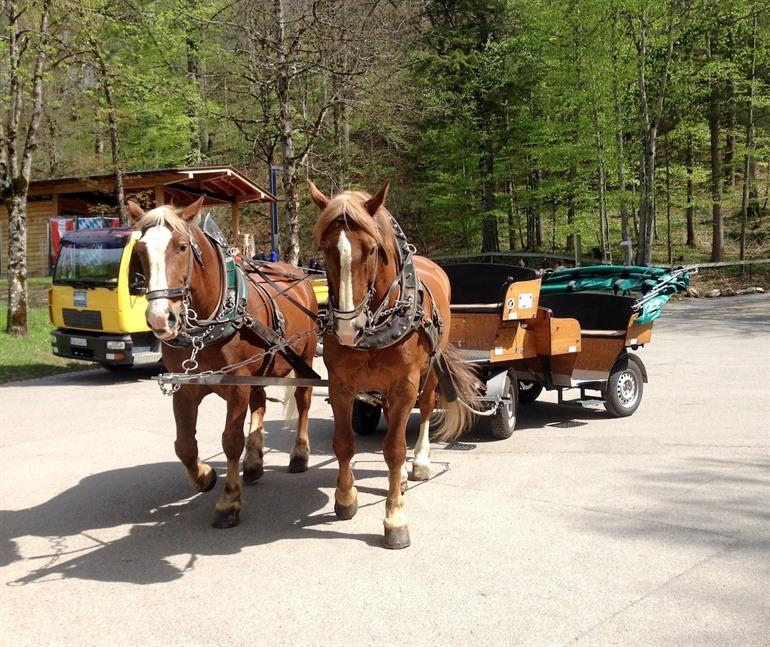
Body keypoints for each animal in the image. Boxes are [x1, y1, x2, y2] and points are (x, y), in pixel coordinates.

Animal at [127, 198, 319, 529]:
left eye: (181, 247)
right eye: (140, 251)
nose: (160, 318)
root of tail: (297, 273)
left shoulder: (237, 386)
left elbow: (231, 440)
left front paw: (229, 503)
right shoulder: (185, 386)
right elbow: (184, 445)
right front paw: (204, 477)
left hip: (304, 357)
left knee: (303, 401)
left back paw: (299, 455)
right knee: (260, 404)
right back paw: (253, 463)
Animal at [308, 181, 480, 549]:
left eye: (372, 250)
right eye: (324, 249)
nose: (348, 328)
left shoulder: (405, 385)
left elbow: (395, 449)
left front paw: (395, 518)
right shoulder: (340, 384)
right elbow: (344, 443)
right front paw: (346, 498)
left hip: (429, 373)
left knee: (426, 410)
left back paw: (419, 463)